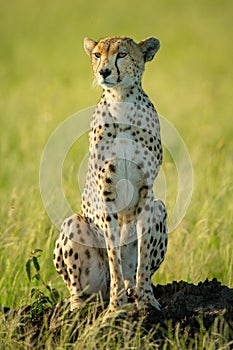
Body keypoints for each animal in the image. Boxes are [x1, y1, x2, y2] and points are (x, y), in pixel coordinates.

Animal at [53, 36, 167, 314]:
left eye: (122, 54)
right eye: (97, 54)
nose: (104, 71)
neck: (121, 101)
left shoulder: (147, 193)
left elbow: (144, 255)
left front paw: (147, 300)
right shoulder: (106, 191)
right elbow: (114, 253)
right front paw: (117, 306)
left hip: (160, 208)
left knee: (131, 272)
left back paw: (132, 290)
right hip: (73, 225)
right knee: (79, 288)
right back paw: (79, 306)